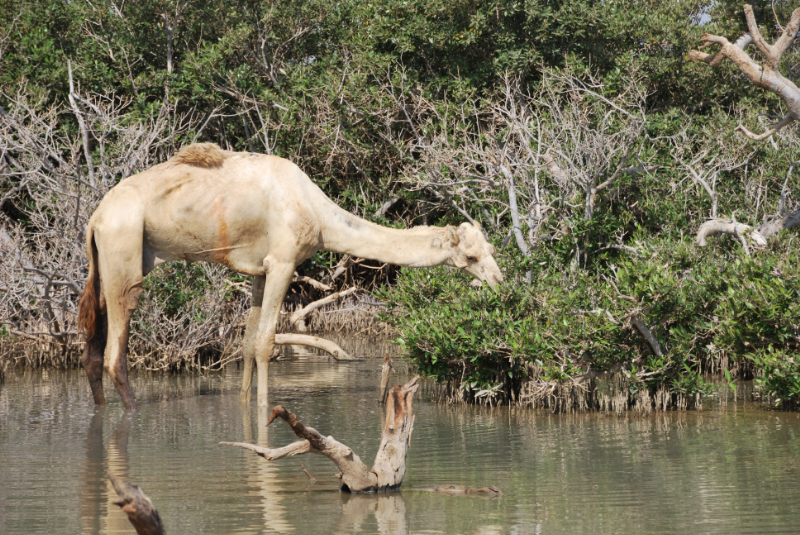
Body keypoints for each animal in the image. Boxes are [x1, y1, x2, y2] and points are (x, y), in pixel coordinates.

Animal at [78, 142, 504, 410]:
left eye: (490, 249)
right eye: (470, 255)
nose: (498, 282)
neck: (319, 215)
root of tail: (96, 218)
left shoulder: (258, 269)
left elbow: (248, 343)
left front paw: (245, 405)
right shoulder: (284, 261)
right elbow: (267, 342)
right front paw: (267, 411)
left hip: (102, 264)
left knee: (92, 354)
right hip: (124, 253)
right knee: (115, 355)